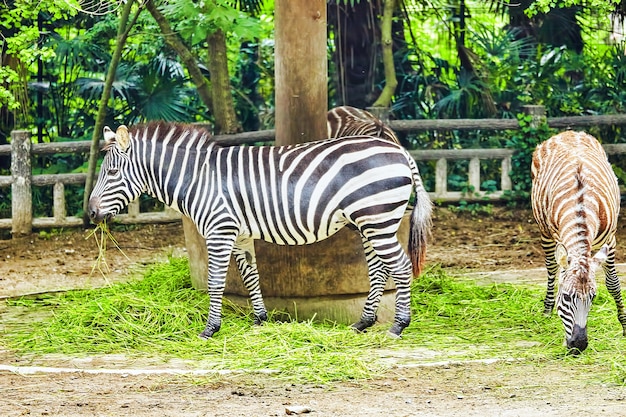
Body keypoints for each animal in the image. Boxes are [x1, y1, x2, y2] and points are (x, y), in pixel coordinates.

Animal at [86, 120, 428, 338]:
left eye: (112, 172)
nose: (90, 213)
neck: (198, 178)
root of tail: (400, 151)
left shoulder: (219, 230)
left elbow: (215, 282)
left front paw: (210, 329)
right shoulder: (240, 235)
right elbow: (251, 276)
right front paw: (259, 320)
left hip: (377, 219)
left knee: (400, 267)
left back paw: (398, 326)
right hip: (369, 222)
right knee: (379, 270)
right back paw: (362, 323)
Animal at [528, 130, 624, 352]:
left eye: (593, 297)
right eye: (565, 297)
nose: (578, 345)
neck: (581, 207)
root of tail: (568, 132)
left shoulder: (610, 240)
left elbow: (613, 283)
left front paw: (624, 324)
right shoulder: (557, 236)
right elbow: (559, 273)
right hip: (544, 231)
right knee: (551, 268)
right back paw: (547, 310)